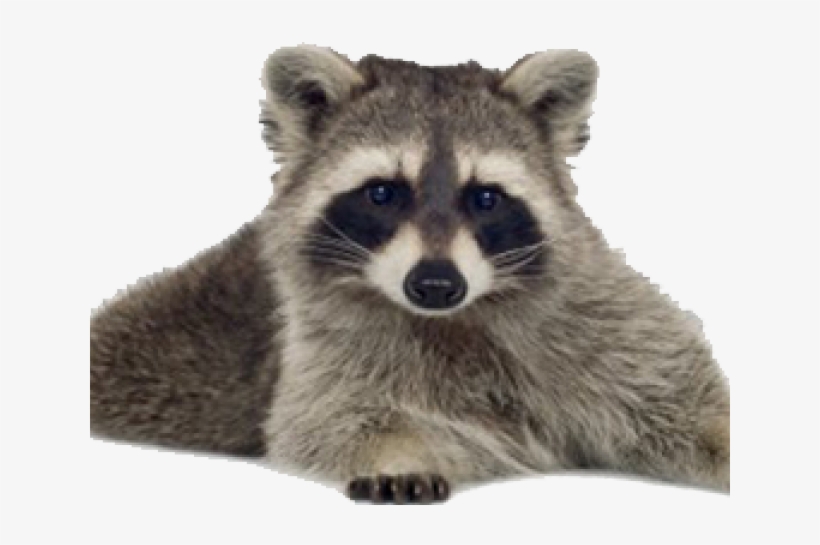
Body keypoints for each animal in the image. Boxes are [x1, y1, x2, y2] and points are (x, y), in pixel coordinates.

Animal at [90, 46, 730, 503]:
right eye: (383, 193)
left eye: (486, 199)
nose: (436, 284)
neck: (462, 314)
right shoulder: (318, 339)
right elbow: (327, 417)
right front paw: (395, 453)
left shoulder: (595, 314)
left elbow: (676, 393)